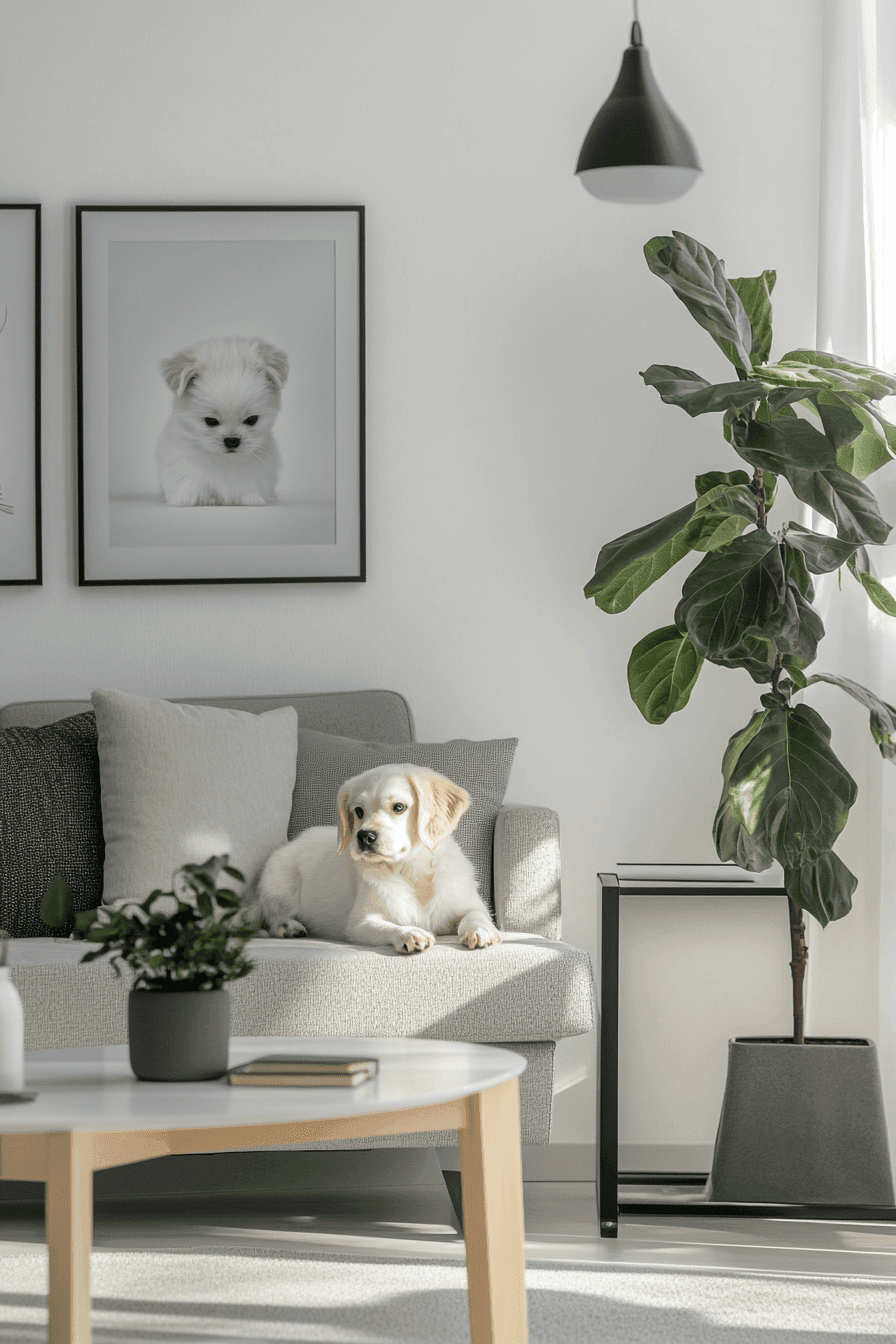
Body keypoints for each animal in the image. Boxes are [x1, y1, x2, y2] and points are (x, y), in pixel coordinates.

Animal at [252, 768, 502, 956]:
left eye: (399, 807)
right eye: (358, 811)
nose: (364, 837)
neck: (411, 871)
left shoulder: (471, 904)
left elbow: (476, 915)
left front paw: (479, 931)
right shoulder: (360, 923)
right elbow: (389, 926)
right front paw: (409, 933)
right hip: (282, 886)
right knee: (273, 917)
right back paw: (289, 927)